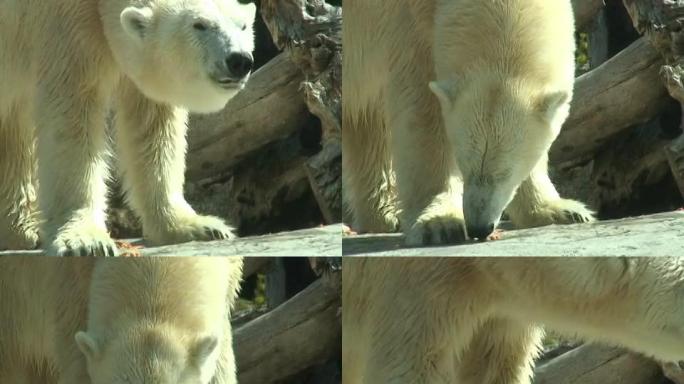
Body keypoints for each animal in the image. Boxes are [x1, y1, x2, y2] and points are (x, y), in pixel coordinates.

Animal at [0, 0, 255, 258]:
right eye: (199, 25)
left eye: (243, 25)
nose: (239, 60)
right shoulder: (61, 22)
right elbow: (73, 113)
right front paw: (87, 241)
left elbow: (154, 127)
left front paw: (196, 226)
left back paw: (21, 230)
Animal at [344, 0, 596, 246]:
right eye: (463, 165)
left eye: (506, 172)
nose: (479, 227)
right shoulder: (407, 23)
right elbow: (422, 107)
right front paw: (439, 223)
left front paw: (561, 210)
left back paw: (383, 215)